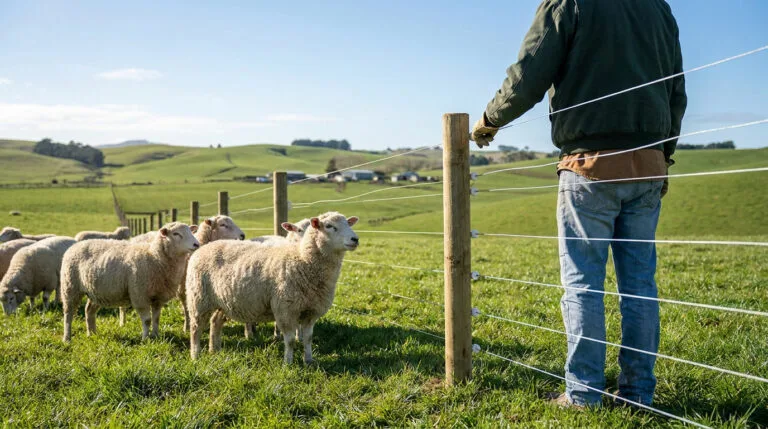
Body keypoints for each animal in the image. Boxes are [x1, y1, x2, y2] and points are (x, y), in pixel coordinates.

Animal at [61, 222, 199, 342]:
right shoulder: (139, 295)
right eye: (176, 234)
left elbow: (156, 319)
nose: (196, 244)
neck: (154, 257)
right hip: (70, 287)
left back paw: (92, 334)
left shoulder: (158, 297)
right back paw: (67, 338)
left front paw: (155, 336)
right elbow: (147, 320)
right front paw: (145, 339)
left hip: (96, 291)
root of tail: (76, 245)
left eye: (190, 231)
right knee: (68, 314)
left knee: (89, 310)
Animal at [186, 211, 359, 363]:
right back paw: (195, 355)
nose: (355, 239)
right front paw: (288, 363)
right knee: (196, 328)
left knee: (215, 322)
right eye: (329, 226)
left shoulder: (311, 311)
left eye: (347, 223)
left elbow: (308, 338)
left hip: (224, 301)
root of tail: (206, 246)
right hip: (199, 298)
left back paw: (214, 350)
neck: (302, 260)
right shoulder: (285, 309)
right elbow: (290, 340)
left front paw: (309, 360)